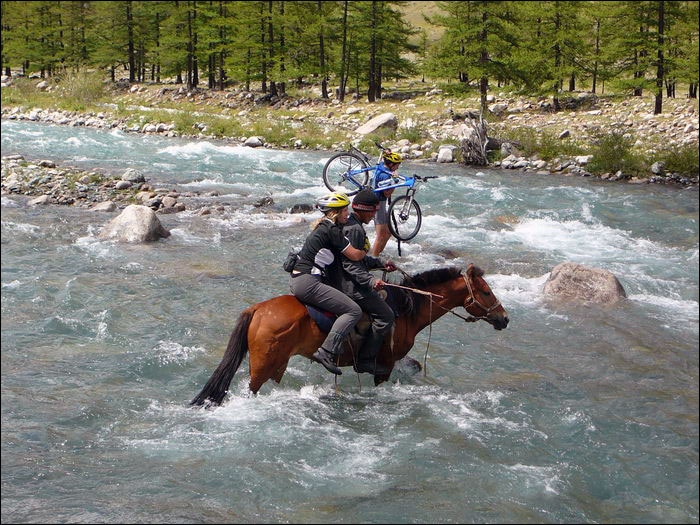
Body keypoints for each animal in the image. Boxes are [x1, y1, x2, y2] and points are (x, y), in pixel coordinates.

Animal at [191, 264, 508, 408]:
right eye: (485, 291)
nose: (504, 319)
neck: (406, 310)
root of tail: (257, 308)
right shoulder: (384, 367)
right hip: (262, 366)